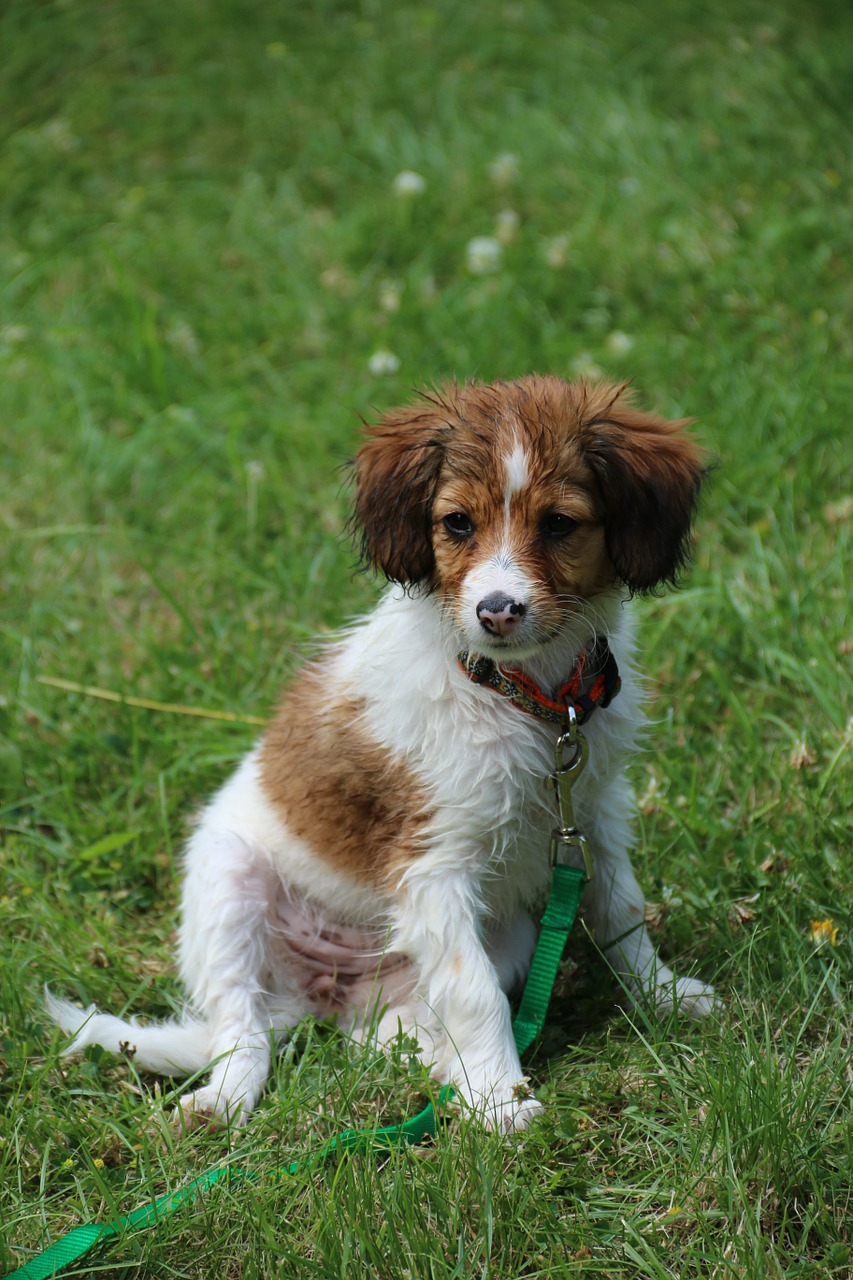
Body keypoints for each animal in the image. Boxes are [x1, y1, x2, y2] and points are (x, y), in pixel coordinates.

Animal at [49, 376, 712, 1131]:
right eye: (457, 524)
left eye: (558, 525)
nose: (496, 611)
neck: (525, 696)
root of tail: (320, 993)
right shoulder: (431, 864)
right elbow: (474, 992)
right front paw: (500, 1102)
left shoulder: (592, 811)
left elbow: (621, 912)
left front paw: (662, 994)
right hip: (227, 888)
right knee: (241, 1030)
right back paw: (227, 1097)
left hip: (500, 940)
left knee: (395, 1035)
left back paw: (440, 1069)